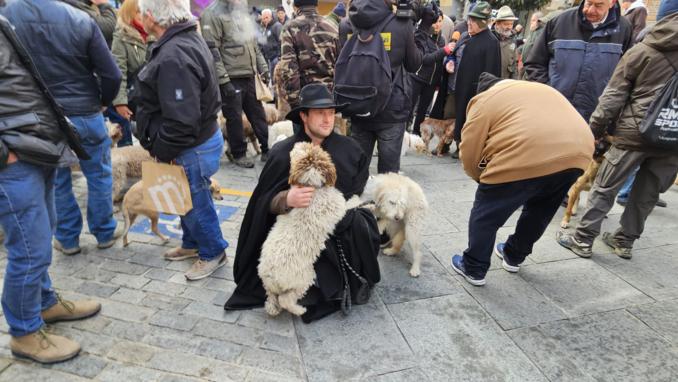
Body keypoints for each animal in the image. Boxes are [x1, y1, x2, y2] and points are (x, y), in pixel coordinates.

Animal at [258, 143, 348, 316]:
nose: (297, 143)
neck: (312, 186)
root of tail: (270, 275)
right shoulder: (339, 207)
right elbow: (353, 202)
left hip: (271, 287)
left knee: (272, 299)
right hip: (304, 279)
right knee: (285, 300)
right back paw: (300, 310)